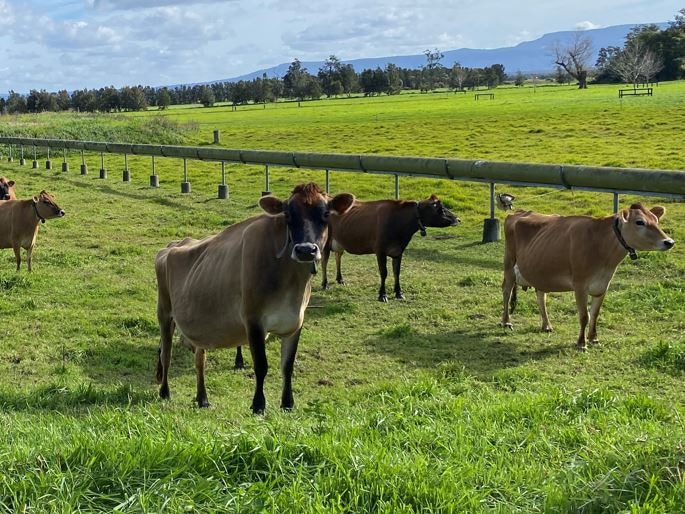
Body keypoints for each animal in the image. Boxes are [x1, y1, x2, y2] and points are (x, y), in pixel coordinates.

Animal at [156, 182, 356, 410]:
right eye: (288, 214)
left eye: (325, 214)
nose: (306, 250)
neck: (291, 283)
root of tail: (173, 245)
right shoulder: (253, 320)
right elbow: (261, 365)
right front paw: (258, 404)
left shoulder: (295, 322)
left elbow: (288, 366)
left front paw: (288, 403)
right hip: (164, 312)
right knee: (166, 353)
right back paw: (164, 392)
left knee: (200, 359)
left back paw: (202, 398)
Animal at [500, 203, 676, 348]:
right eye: (640, 222)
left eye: (656, 220)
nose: (669, 242)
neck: (601, 248)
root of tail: (519, 212)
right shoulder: (580, 285)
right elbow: (584, 316)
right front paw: (581, 343)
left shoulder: (602, 285)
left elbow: (595, 314)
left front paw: (594, 339)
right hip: (509, 262)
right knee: (506, 290)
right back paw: (506, 321)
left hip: (539, 270)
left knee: (540, 295)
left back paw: (547, 325)